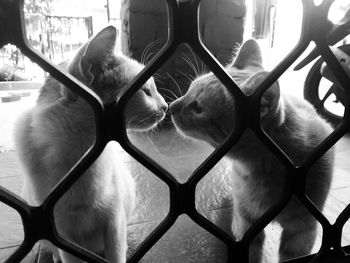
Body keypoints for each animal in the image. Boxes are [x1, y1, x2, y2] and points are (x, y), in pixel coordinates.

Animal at [16, 25, 168, 263]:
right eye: (145, 91)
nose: (166, 106)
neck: (79, 152)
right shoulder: (62, 234)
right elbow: (68, 255)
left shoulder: (114, 222)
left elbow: (116, 255)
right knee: (55, 249)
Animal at [169, 39, 334, 263]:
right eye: (188, 89)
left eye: (197, 107)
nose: (170, 106)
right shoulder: (246, 222)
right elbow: (252, 252)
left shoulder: (303, 228)